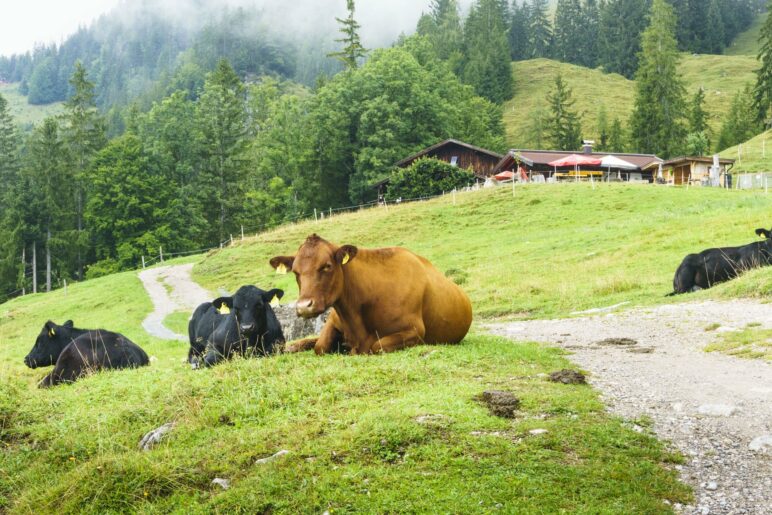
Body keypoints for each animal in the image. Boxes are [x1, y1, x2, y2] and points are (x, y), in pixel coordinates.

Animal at [268, 234, 474, 354]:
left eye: (327, 266)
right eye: (295, 272)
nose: (304, 307)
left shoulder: (414, 330)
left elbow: (376, 346)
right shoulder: (333, 320)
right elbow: (320, 346)